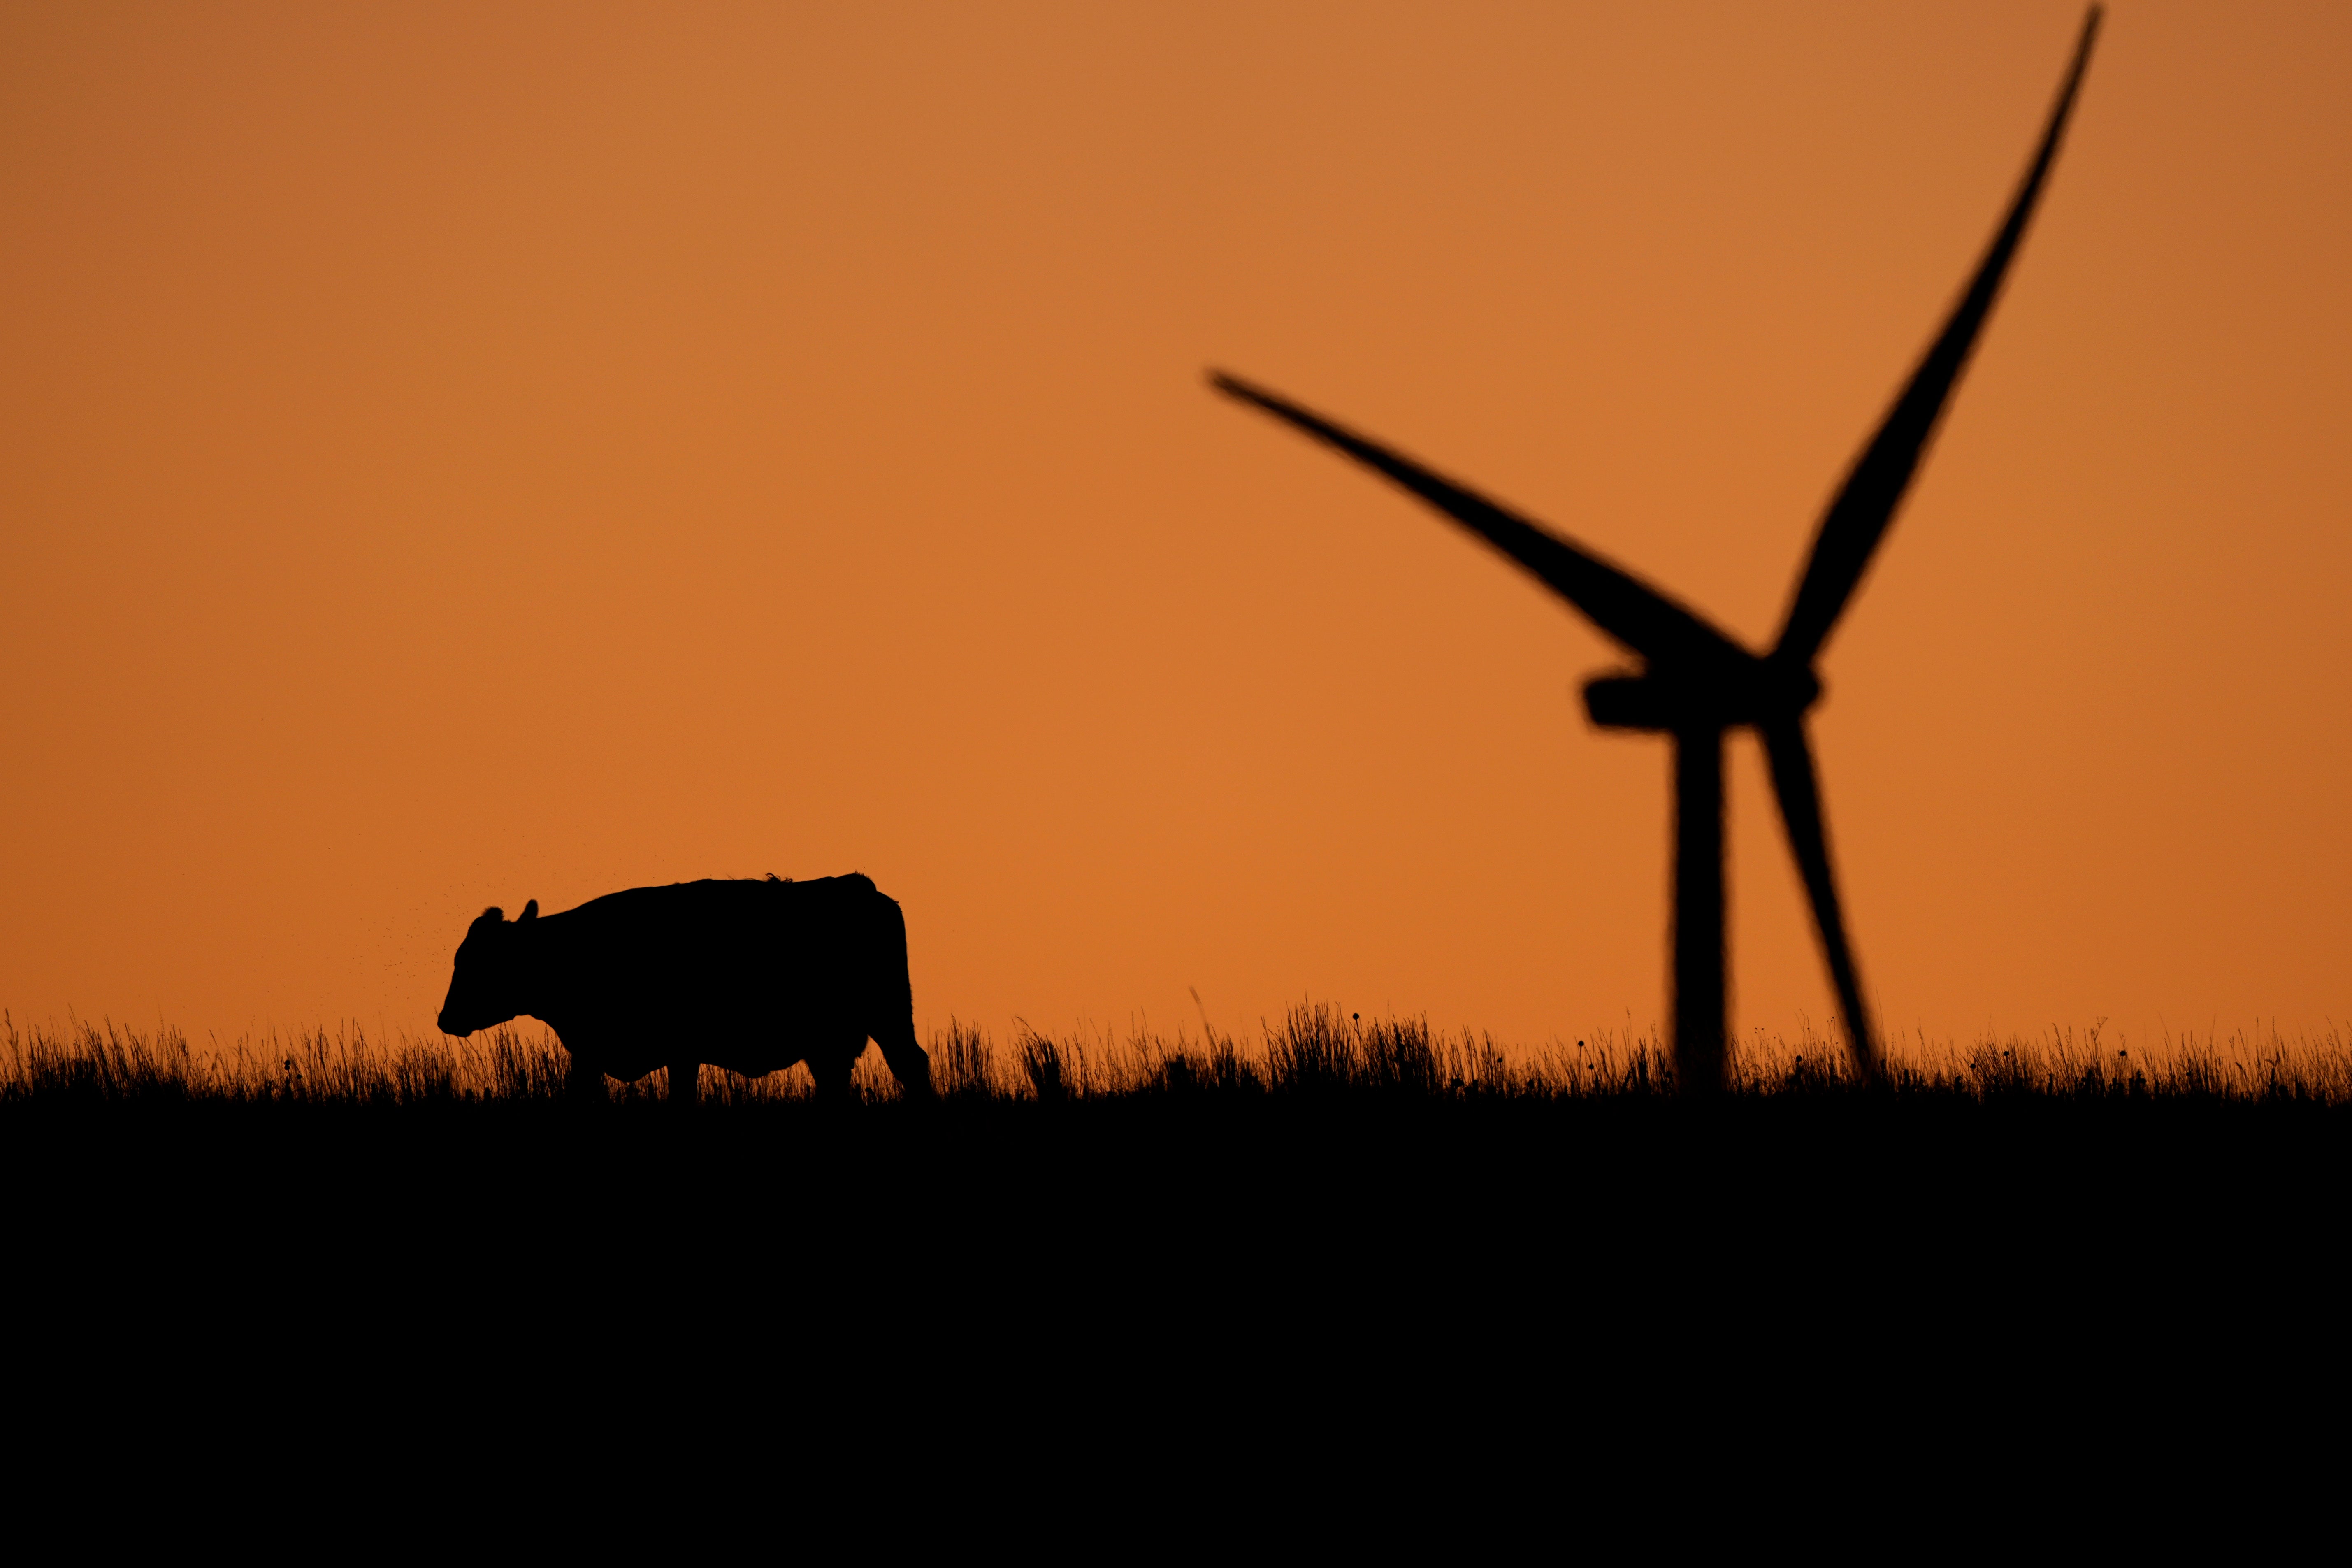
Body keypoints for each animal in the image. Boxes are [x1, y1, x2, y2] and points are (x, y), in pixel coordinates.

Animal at [437, 870, 931, 1105]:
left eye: (478, 962)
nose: (445, 1018)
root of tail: (863, 888)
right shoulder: (591, 1053)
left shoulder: (679, 1051)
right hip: (834, 1039)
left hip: (888, 1015)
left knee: (910, 1064)